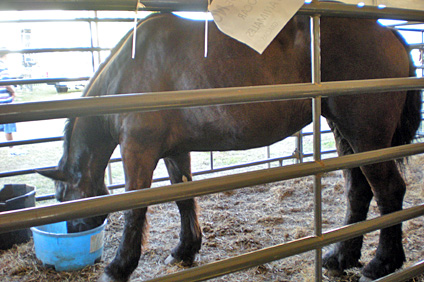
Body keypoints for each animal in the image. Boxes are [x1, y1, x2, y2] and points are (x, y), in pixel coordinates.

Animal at [39, 12, 420, 282]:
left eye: (61, 197)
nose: (74, 232)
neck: (129, 73)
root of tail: (388, 32)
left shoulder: (138, 150)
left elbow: (134, 208)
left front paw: (119, 267)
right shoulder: (174, 152)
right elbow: (183, 198)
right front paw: (184, 250)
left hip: (366, 136)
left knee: (389, 191)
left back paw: (382, 263)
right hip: (345, 135)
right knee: (359, 192)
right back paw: (341, 258)